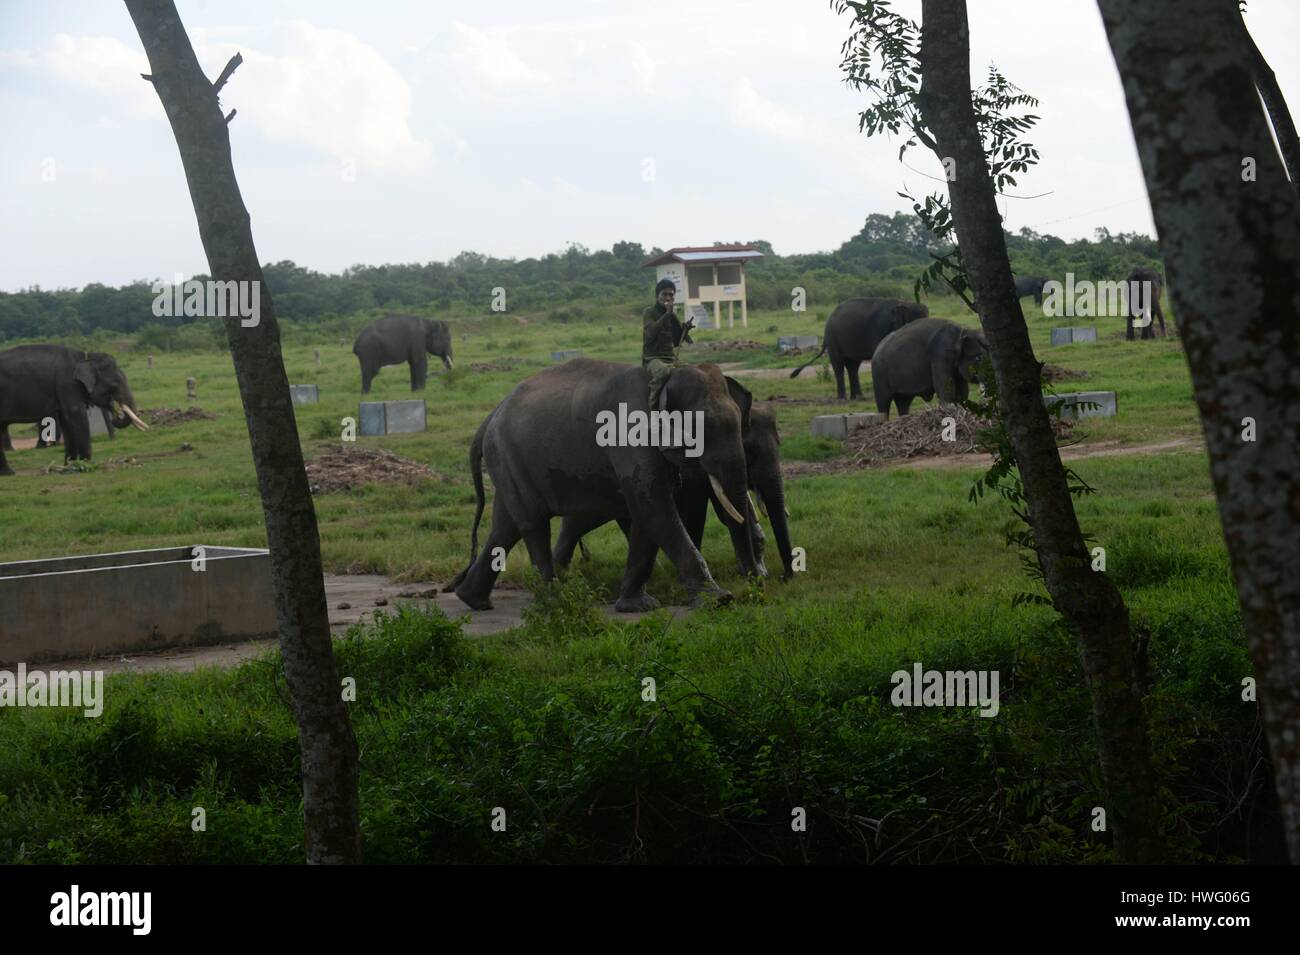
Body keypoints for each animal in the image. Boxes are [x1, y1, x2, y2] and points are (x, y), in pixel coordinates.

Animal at [0, 345, 149, 475]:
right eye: (115, 384)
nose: (115, 409)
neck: (85, 357)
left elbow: (66, 421)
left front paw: (70, 465)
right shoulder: (67, 384)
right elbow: (75, 414)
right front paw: (85, 464)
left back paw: (8, 473)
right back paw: (10, 473)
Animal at [448, 358, 754, 613]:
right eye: (706, 427)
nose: (753, 581)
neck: (665, 376)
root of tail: (490, 416)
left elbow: (646, 514)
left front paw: (637, 606)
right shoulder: (631, 436)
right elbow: (653, 508)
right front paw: (719, 600)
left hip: (508, 462)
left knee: (506, 527)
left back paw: (473, 600)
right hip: (508, 454)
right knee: (533, 524)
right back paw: (554, 602)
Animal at [789, 297, 930, 400]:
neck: (903, 302)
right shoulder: (879, 328)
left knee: (853, 367)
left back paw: (857, 397)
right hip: (833, 339)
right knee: (839, 365)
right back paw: (843, 398)